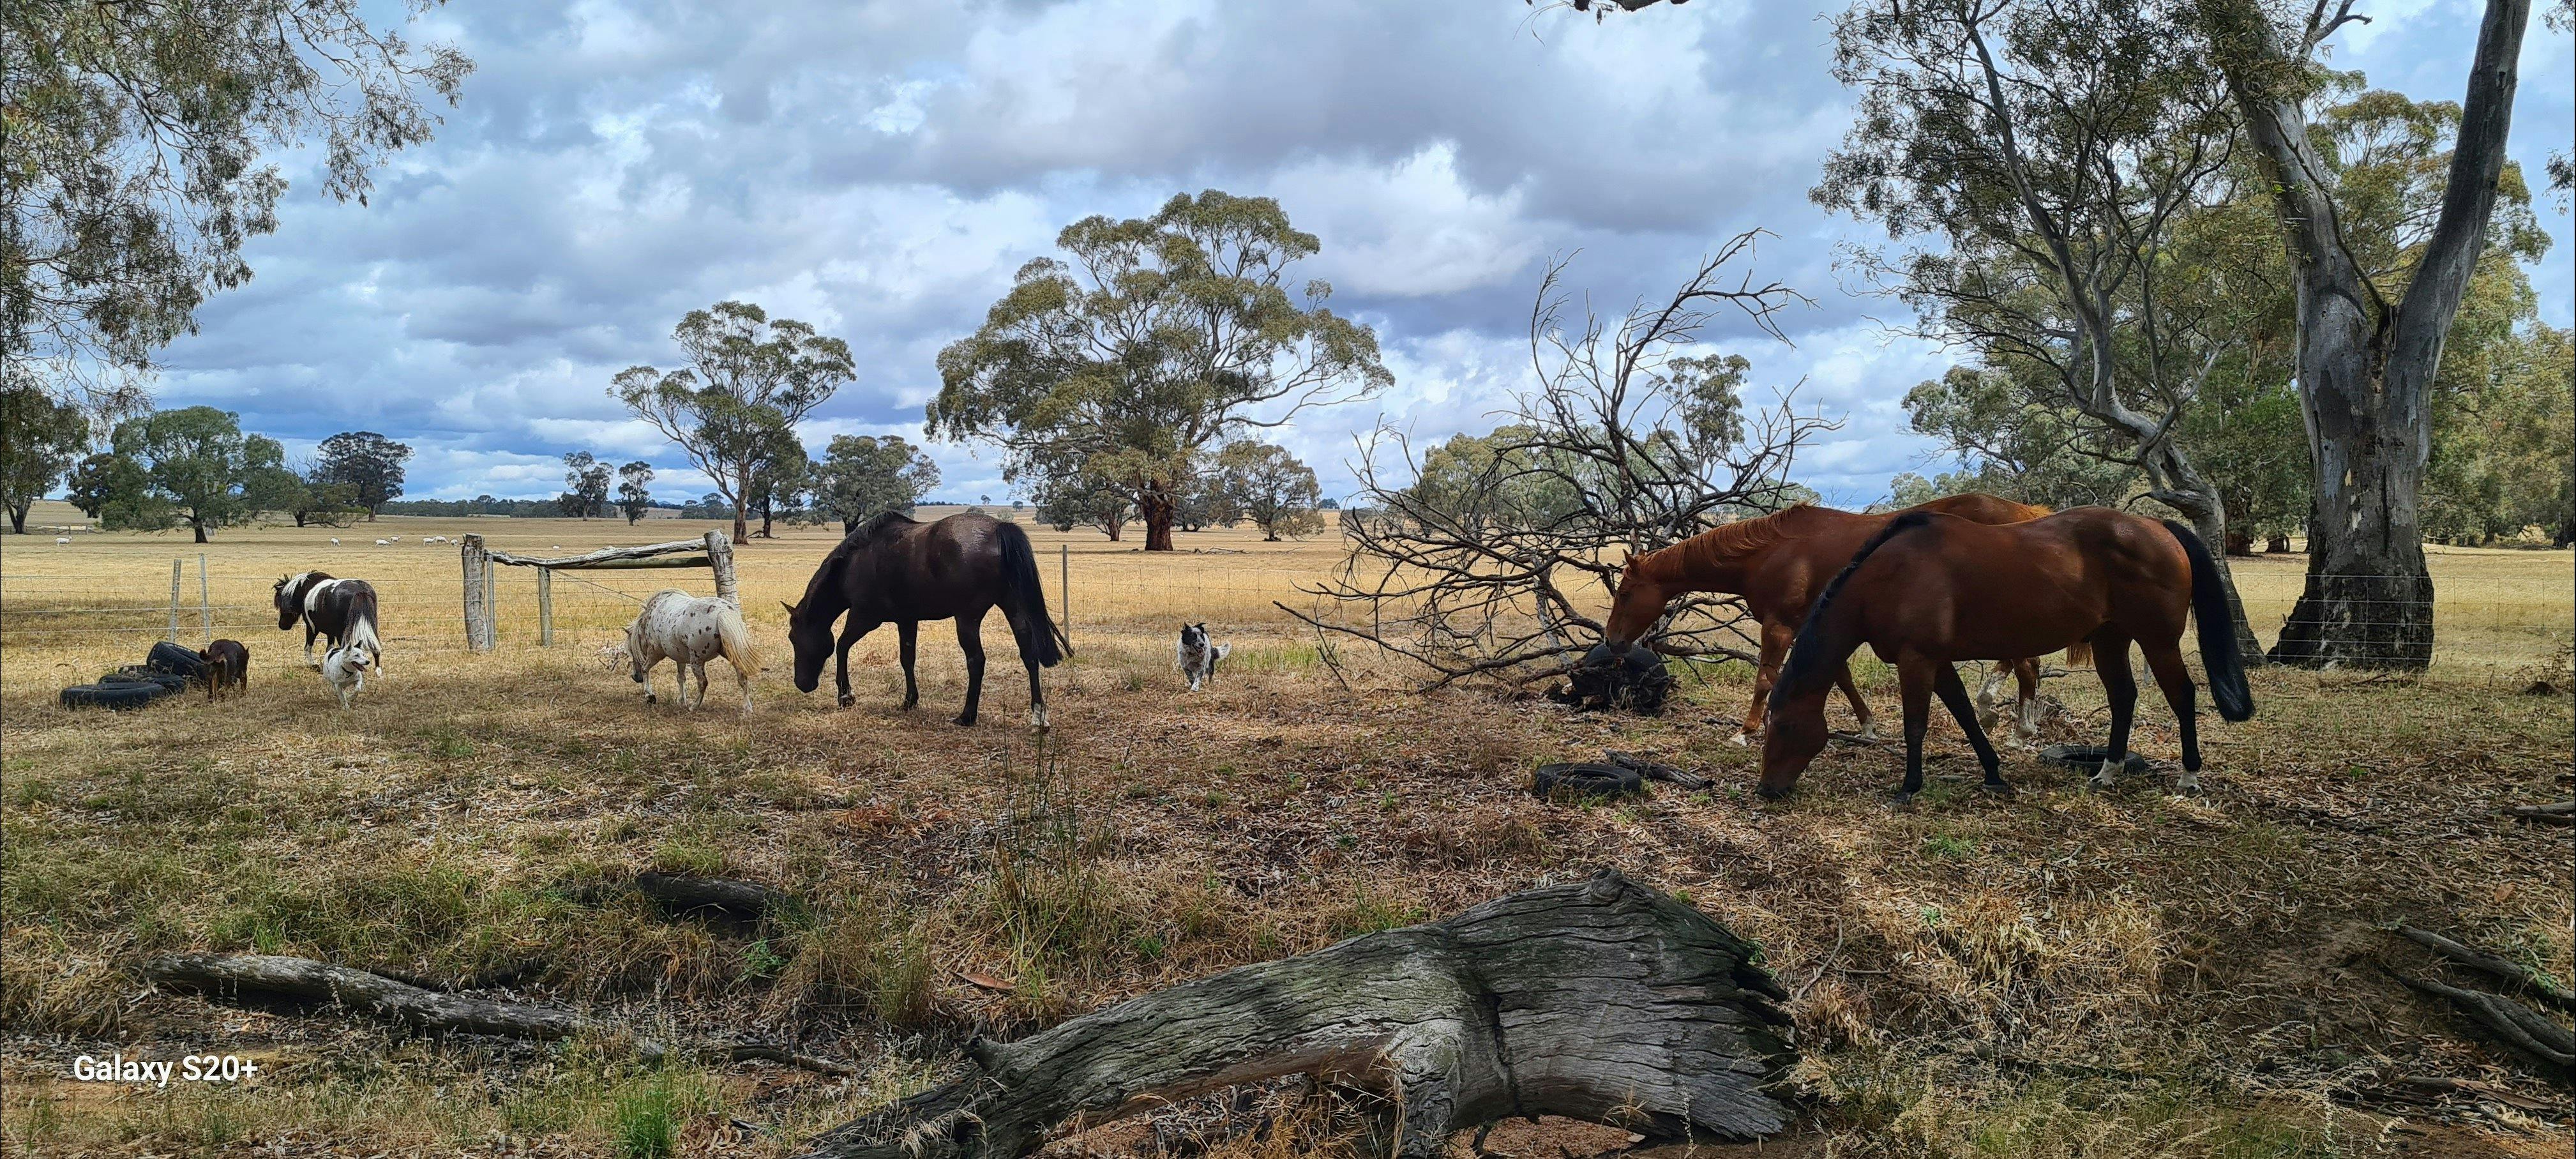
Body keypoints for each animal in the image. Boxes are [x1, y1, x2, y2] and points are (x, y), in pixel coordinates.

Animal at [273, 572, 384, 675]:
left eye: (280, 603)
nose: (282, 626)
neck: (305, 587)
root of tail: (360, 591)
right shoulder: (331, 632)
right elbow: (330, 649)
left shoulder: (312, 628)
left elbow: (308, 647)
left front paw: (314, 665)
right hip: (371, 626)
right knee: (375, 646)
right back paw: (378, 671)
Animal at [623, 589, 760, 715]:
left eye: (632, 651)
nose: (636, 677)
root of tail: (722, 612)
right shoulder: (679, 657)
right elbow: (681, 678)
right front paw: (681, 701)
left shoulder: (655, 653)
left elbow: (645, 669)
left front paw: (650, 696)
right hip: (731, 654)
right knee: (742, 678)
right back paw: (748, 710)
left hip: (697, 661)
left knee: (703, 683)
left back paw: (694, 706)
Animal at [784, 511, 1066, 728]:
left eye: (793, 638)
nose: (802, 684)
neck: (853, 563)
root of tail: (999, 528)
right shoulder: (907, 620)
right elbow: (907, 659)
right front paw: (910, 700)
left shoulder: (864, 617)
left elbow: (842, 646)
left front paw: (845, 696)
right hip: (1013, 607)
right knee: (1028, 654)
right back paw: (1038, 716)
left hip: (967, 618)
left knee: (976, 661)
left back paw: (967, 716)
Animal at [1602, 495, 2080, 745]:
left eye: (1625, 593)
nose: (1612, 641)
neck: (1773, 551)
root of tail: (2028, 514)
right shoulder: (1817, 625)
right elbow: (1841, 677)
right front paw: (1867, 726)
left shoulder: (1779, 625)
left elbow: (1764, 678)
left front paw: (1746, 730)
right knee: (2024, 664)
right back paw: (2005, 719)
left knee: (2025, 664)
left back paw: (2013, 723)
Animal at [1759, 508, 2254, 803]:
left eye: (1783, 726)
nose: (1767, 790)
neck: (1888, 576)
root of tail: (2157, 526)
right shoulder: (1937, 662)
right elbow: (1965, 714)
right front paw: (1994, 772)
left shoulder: (1916, 660)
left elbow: (1916, 725)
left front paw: (1909, 787)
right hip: (2109, 640)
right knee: (2123, 698)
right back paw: (2106, 773)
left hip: (2157, 642)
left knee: (2182, 696)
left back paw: (2188, 777)